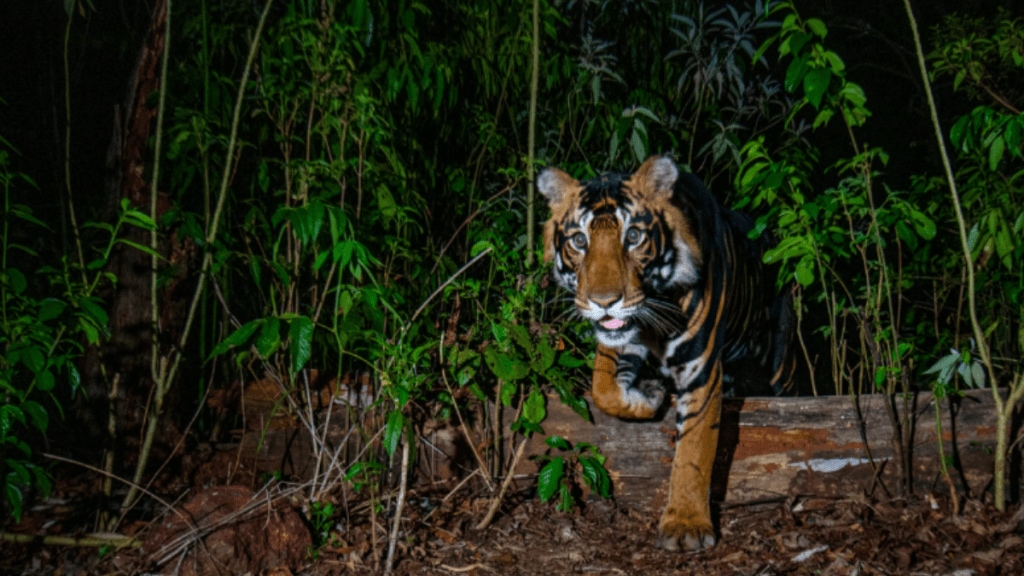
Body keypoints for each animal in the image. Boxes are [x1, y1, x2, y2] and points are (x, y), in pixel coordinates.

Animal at [538, 155, 794, 551]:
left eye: (633, 237)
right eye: (580, 240)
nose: (603, 302)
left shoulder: (699, 369)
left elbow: (694, 450)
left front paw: (686, 525)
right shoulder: (620, 341)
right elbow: (603, 390)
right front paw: (649, 396)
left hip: (783, 361)